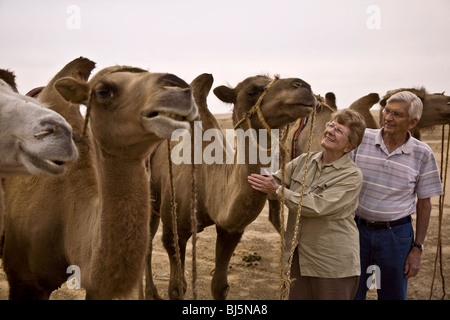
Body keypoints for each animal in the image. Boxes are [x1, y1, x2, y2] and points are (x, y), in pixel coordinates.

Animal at [144, 74, 316, 298]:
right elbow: (176, 287)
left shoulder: (230, 231)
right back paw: (150, 292)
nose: (303, 86)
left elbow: (219, 285)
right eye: (251, 91)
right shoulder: (174, 232)